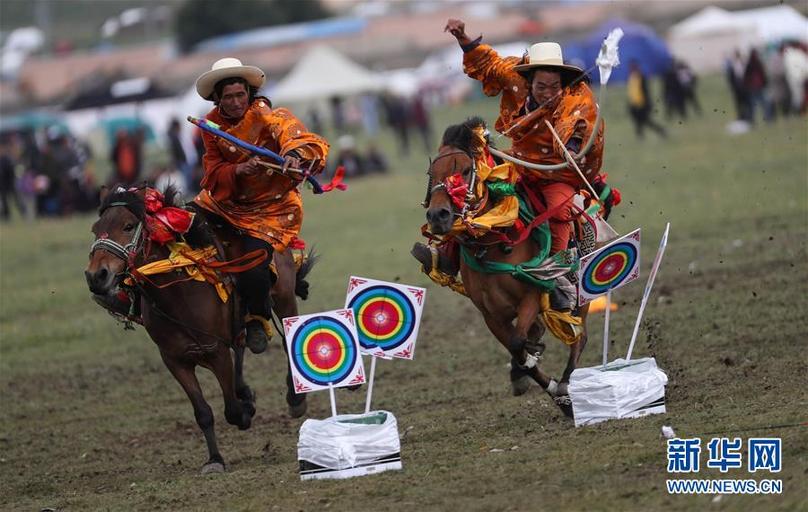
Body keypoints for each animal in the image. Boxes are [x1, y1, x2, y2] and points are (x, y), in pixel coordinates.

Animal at [85, 186, 312, 474]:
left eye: (128, 226)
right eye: (96, 229)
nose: (96, 275)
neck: (177, 295)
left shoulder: (215, 352)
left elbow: (231, 409)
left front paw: (245, 411)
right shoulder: (175, 360)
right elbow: (202, 412)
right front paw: (214, 459)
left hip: (283, 298)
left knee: (285, 341)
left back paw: (294, 401)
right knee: (241, 345)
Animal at [420, 117, 592, 416]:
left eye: (465, 170)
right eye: (433, 172)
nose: (438, 215)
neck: (492, 239)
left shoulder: (531, 297)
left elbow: (519, 343)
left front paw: (550, 386)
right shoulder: (491, 315)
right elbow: (517, 350)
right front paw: (527, 373)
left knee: (578, 339)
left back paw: (566, 384)